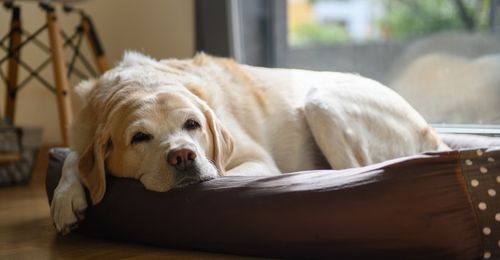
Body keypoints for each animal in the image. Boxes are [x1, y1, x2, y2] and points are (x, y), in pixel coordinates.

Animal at [51, 51, 450, 235]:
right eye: (139, 138)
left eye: (193, 125)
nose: (183, 156)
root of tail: (433, 132)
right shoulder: (83, 134)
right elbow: (73, 157)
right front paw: (66, 198)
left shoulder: (253, 158)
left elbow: (225, 175)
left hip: (321, 101)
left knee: (356, 171)